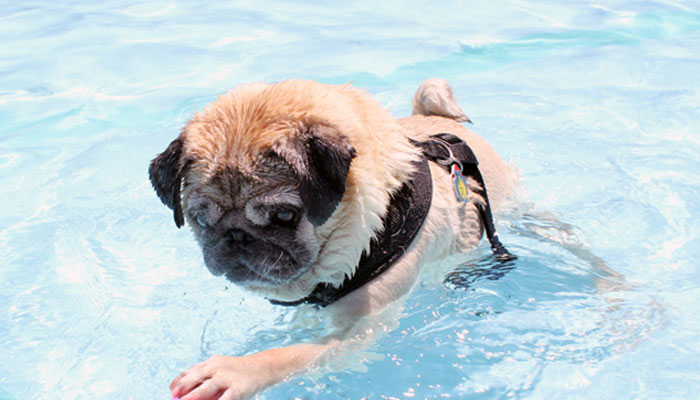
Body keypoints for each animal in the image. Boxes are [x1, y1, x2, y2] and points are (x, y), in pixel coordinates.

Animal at [150, 79, 516, 400]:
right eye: (199, 219)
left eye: (285, 216)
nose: (237, 236)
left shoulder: (359, 330)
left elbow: (293, 353)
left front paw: (237, 371)